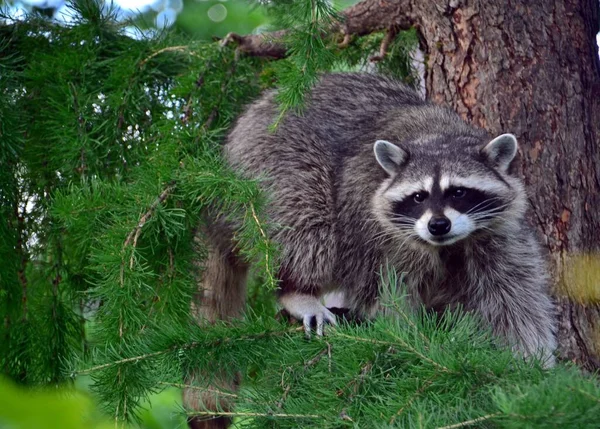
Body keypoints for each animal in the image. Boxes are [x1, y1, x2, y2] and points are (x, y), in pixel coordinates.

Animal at [184, 73, 556, 424]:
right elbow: (385, 292)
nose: (438, 226)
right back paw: (297, 289)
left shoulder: (499, 237)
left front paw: (528, 370)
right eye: (419, 196)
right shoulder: (371, 225)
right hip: (269, 164)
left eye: (459, 192)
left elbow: (514, 300)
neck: (438, 136)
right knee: (305, 217)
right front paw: (407, 342)